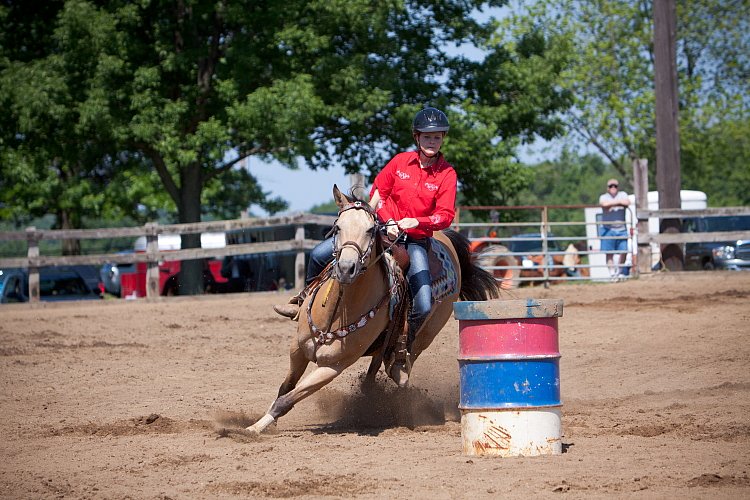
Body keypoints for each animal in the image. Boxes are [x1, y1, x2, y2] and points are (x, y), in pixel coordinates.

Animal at [250, 185, 502, 434]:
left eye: (371, 229)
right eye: (337, 227)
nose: (346, 268)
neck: (335, 313)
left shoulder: (332, 367)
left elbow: (288, 399)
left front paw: (253, 429)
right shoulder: (297, 349)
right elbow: (285, 387)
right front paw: (258, 422)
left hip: (426, 333)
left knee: (407, 353)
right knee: (373, 371)